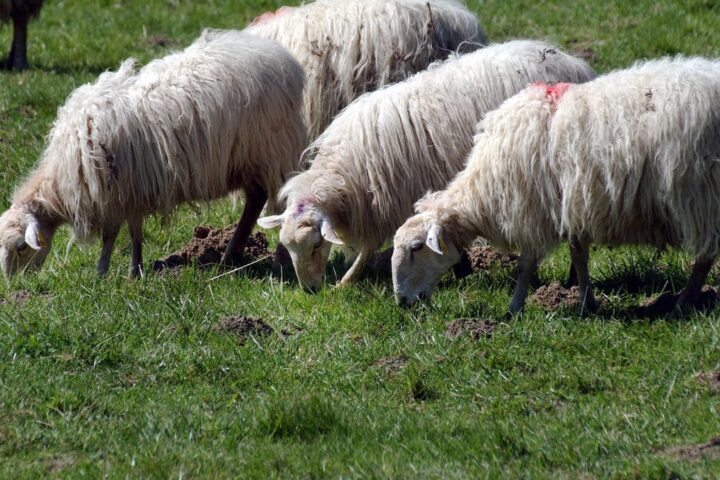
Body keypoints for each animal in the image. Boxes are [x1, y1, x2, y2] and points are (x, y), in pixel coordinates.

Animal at [0, 29, 306, 278]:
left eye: (20, 247)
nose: (16, 286)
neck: (61, 180)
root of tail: (283, 58)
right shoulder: (128, 193)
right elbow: (131, 232)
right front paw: (128, 271)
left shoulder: (119, 193)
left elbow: (116, 235)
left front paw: (108, 272)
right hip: (249, 158)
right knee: (255, 199)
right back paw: (231, 255)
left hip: (272, 148)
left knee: (280, 201)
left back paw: (279, 260)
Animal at [257, 40, 596, 291]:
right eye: (287, 247)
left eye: (316, 244)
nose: (310, 290)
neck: (348, 176)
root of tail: (577, 65)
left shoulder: (394, 196)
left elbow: (371, 245)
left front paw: (346, 280)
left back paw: (570, 282)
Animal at [392, 56, 720, 315]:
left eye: (417, 247)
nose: (402, 302)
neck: (484, 189)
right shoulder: (572, 204)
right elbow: (579, 254)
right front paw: (586, 302)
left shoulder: (534, 208)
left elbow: (526, 265)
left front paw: (515, 307)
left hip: (700, 191)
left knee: (705, 255)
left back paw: (682, 304)